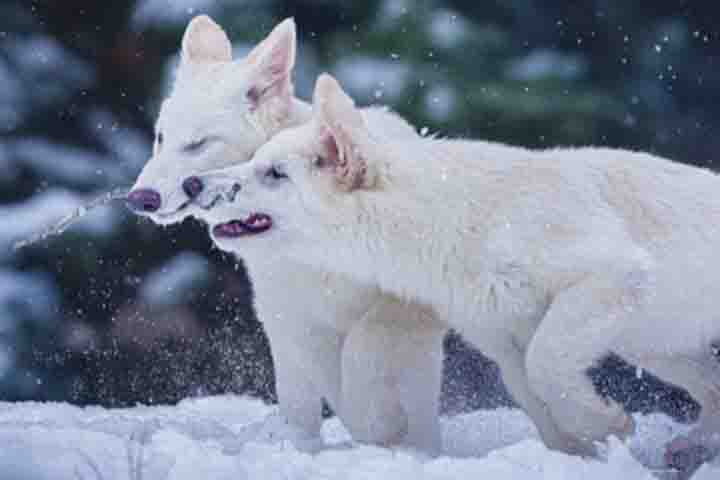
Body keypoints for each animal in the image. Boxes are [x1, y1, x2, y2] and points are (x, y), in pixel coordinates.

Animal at [127, 17, 446, 453]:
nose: (140, 198)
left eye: (197, 144)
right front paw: (302, 443)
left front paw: (378, 426)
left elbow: (365, 348)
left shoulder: (403, 303)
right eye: (161, 138)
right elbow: (307, 399)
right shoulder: (289, 320)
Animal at [193, 73, 720, 468]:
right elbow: (537, 397)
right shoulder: (503, 340)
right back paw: (688, 447)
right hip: (657, 345)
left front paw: (607, 422)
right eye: (255, 161)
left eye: (274, 174)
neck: (455, 219)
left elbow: (548, 364)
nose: (195, 184)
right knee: (712, 389)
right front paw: (581, 453)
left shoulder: (609, 272)